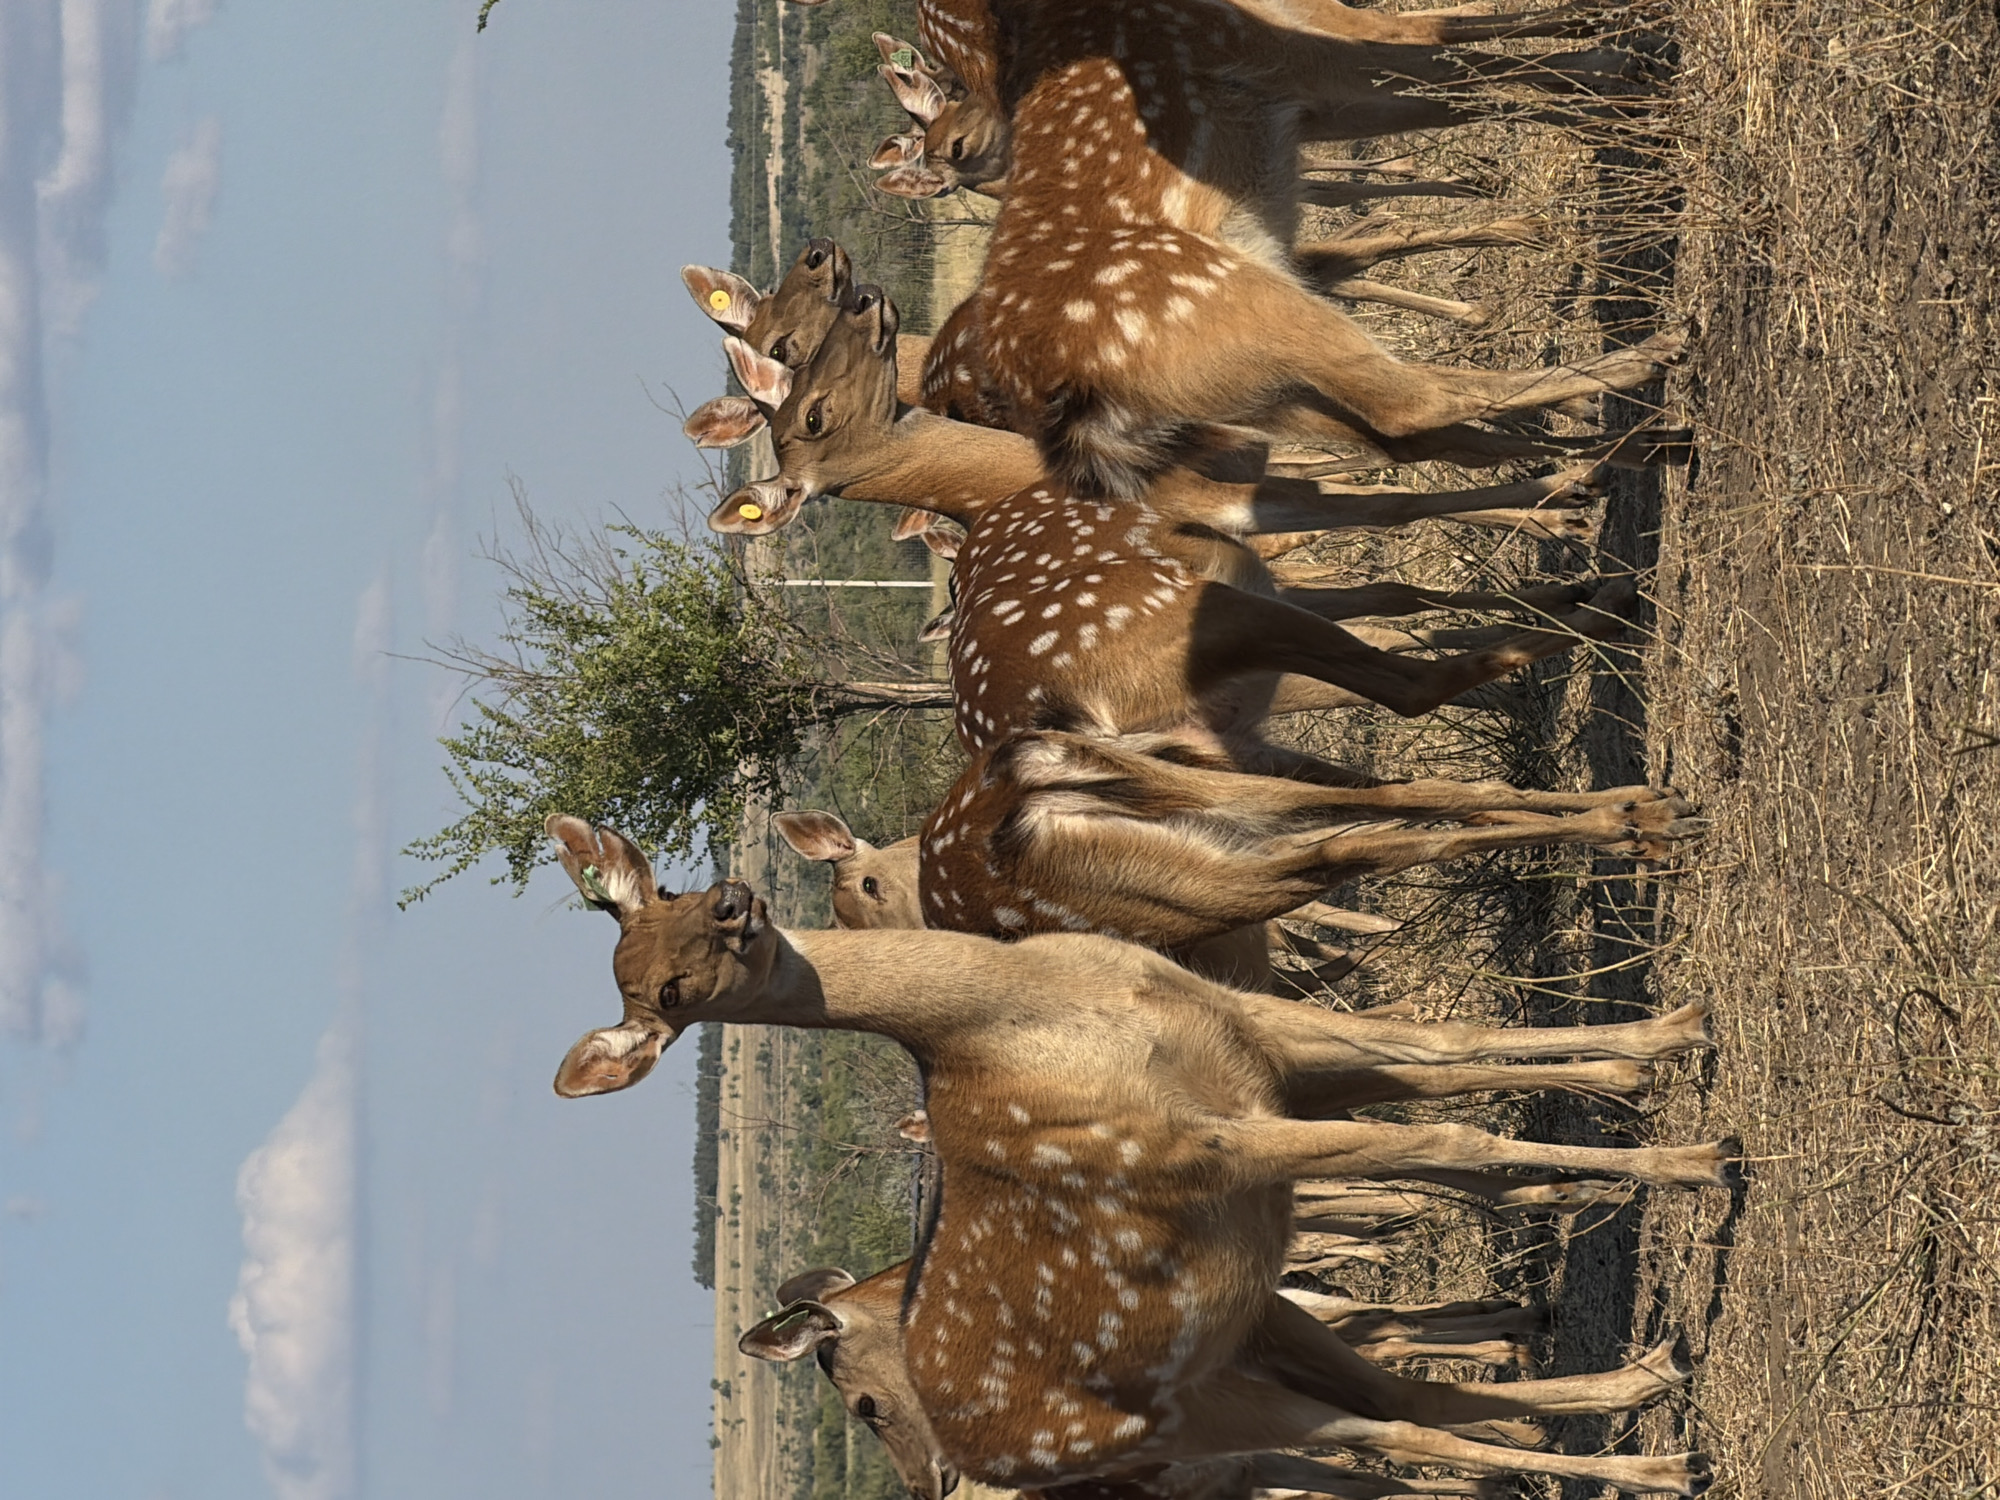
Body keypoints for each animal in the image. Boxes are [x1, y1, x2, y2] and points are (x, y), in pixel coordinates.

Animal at [539, 831, 1726, 1495]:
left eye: (663, 895)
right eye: (661, 993)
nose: (735, 903)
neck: (1023, 1016)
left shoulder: (1259, 1041)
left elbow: (1446, 1051)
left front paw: (1663, 1042)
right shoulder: (1206, 1146)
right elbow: (1443, 1131)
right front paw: (1689, 1158)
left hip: (1259, 1344)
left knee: (1407, 1400)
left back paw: (1634, 1380)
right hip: (1224, 1413)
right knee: (1398, 1425)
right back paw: (1652, 1451)